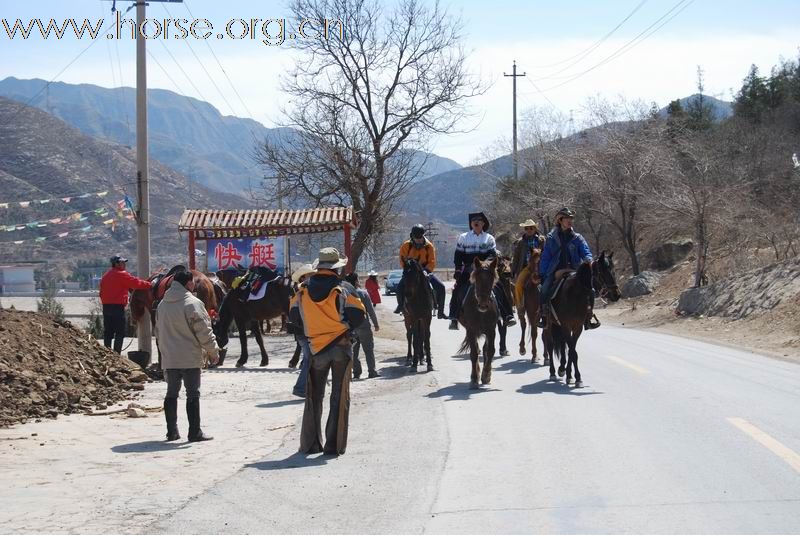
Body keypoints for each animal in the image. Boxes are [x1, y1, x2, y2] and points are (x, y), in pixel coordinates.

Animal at [456, 256, 500, 388]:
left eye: (492, 279)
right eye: (478, 279)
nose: (483, 305)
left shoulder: (491, 330)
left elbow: (490, 351)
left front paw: (486, 375)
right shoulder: (471, 330)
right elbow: (474, 353)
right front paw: (475, 378)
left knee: (485, 349)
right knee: (475, 348)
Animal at [548, 251, 620, 386]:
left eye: (613, 270)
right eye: (602, 273)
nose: (617, 295)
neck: (575, 295)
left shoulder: (577, 327)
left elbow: (572, 351)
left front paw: (573, 376)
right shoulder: (566, 326)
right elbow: (572, 351)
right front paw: (573, 376)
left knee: (562, 345)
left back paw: (561, 368)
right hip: (549, 325)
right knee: (549, 345)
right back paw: (553, 372)